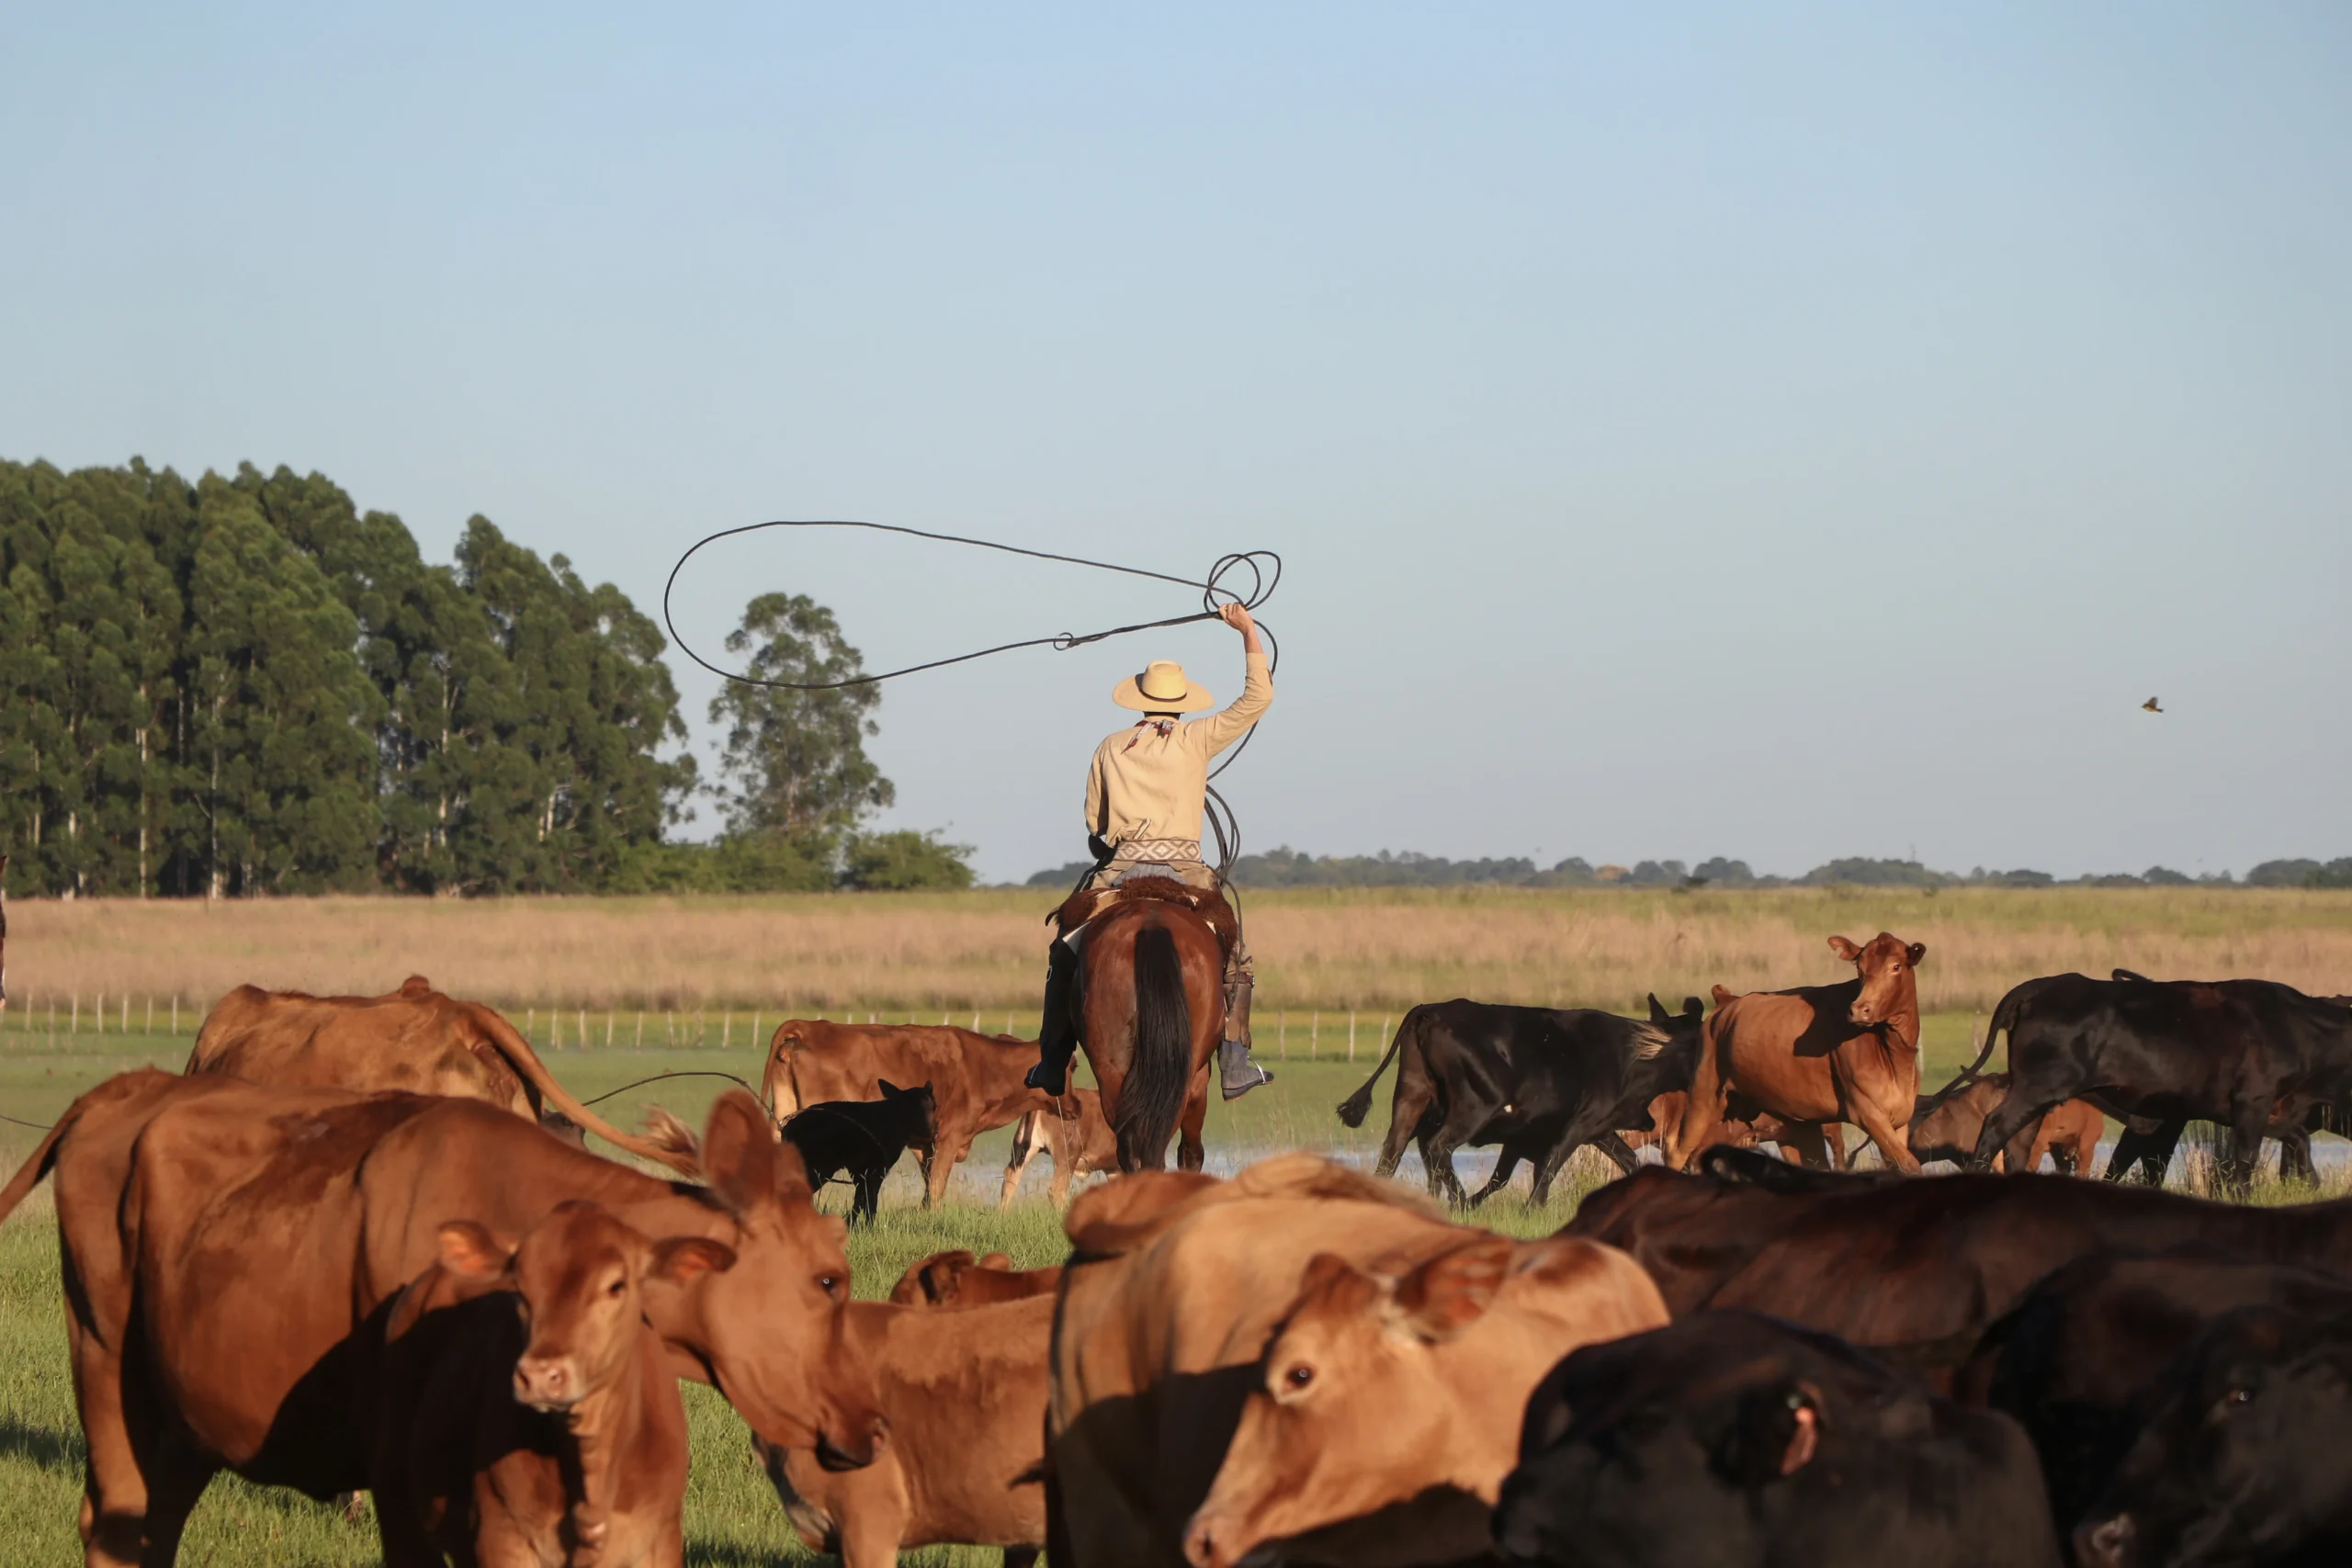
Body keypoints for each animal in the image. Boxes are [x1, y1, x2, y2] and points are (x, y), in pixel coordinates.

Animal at [781, 1081, 938, 1224]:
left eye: (932, 1108)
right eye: (910, 1110)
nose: (933, 1132)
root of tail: (788, 1126)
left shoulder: (863, 1173)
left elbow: (862, 1201)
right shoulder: (873, 1171)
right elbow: (869, 1202)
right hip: (819, 1170)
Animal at [1333, 995, 1709, 1206]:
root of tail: (1431, 1010)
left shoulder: (1599, 1127)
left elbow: (1629, 1159)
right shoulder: (1582, 1121)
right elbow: (1550, 1165)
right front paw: (1532, 1210)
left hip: (1411, 1098)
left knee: (1392, 1154)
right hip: (1478, 1104)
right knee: (1438, 1147)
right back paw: (1459, 1204)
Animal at [1672, 933, 1928, 1174]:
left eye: (1896, 966)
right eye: (1859, 968)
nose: (1859, 1010)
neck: (1895, 1056)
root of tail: (1726, 1003)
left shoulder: (1899, 1119)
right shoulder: (1867, 1112)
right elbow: (1910, 1164)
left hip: (1796, 1118)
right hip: (1704, 1094)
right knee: (1680, 1152)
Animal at [1946, 970, 2352, 1190]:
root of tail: (2046, 985)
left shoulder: (2274, 1111)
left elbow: (2296, 1143)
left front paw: (2312, 1186)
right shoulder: (2252, 1102)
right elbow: (2245, 1162)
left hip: (2037, 1096)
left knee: (2017, 1142)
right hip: (2036, 1089)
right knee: (1995, 1127)